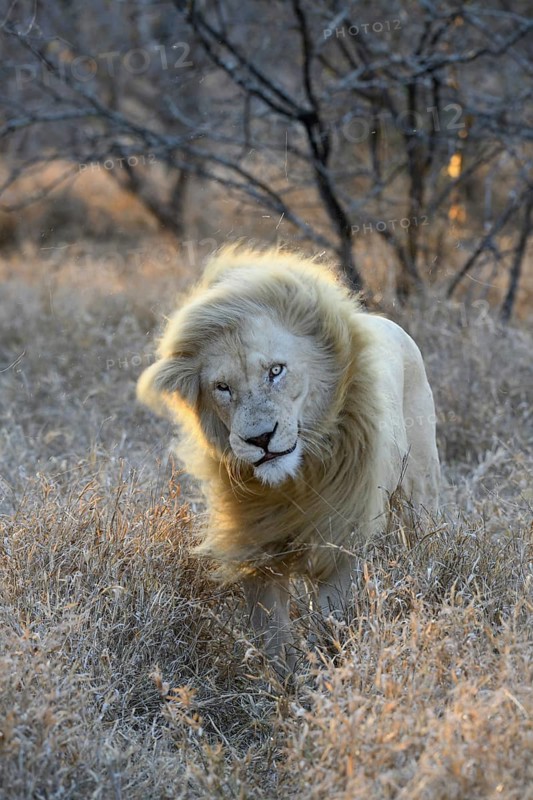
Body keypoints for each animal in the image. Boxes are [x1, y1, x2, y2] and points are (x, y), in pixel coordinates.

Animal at [137, 246, 440, 673]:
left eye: (275, 370)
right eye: (222, 387)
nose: (260, 438)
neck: (293, 481)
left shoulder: (341, 538)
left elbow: (329, 620)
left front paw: (326, 671)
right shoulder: (256, 545)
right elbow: (272, 634)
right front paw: (283, 680)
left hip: (419, 494)